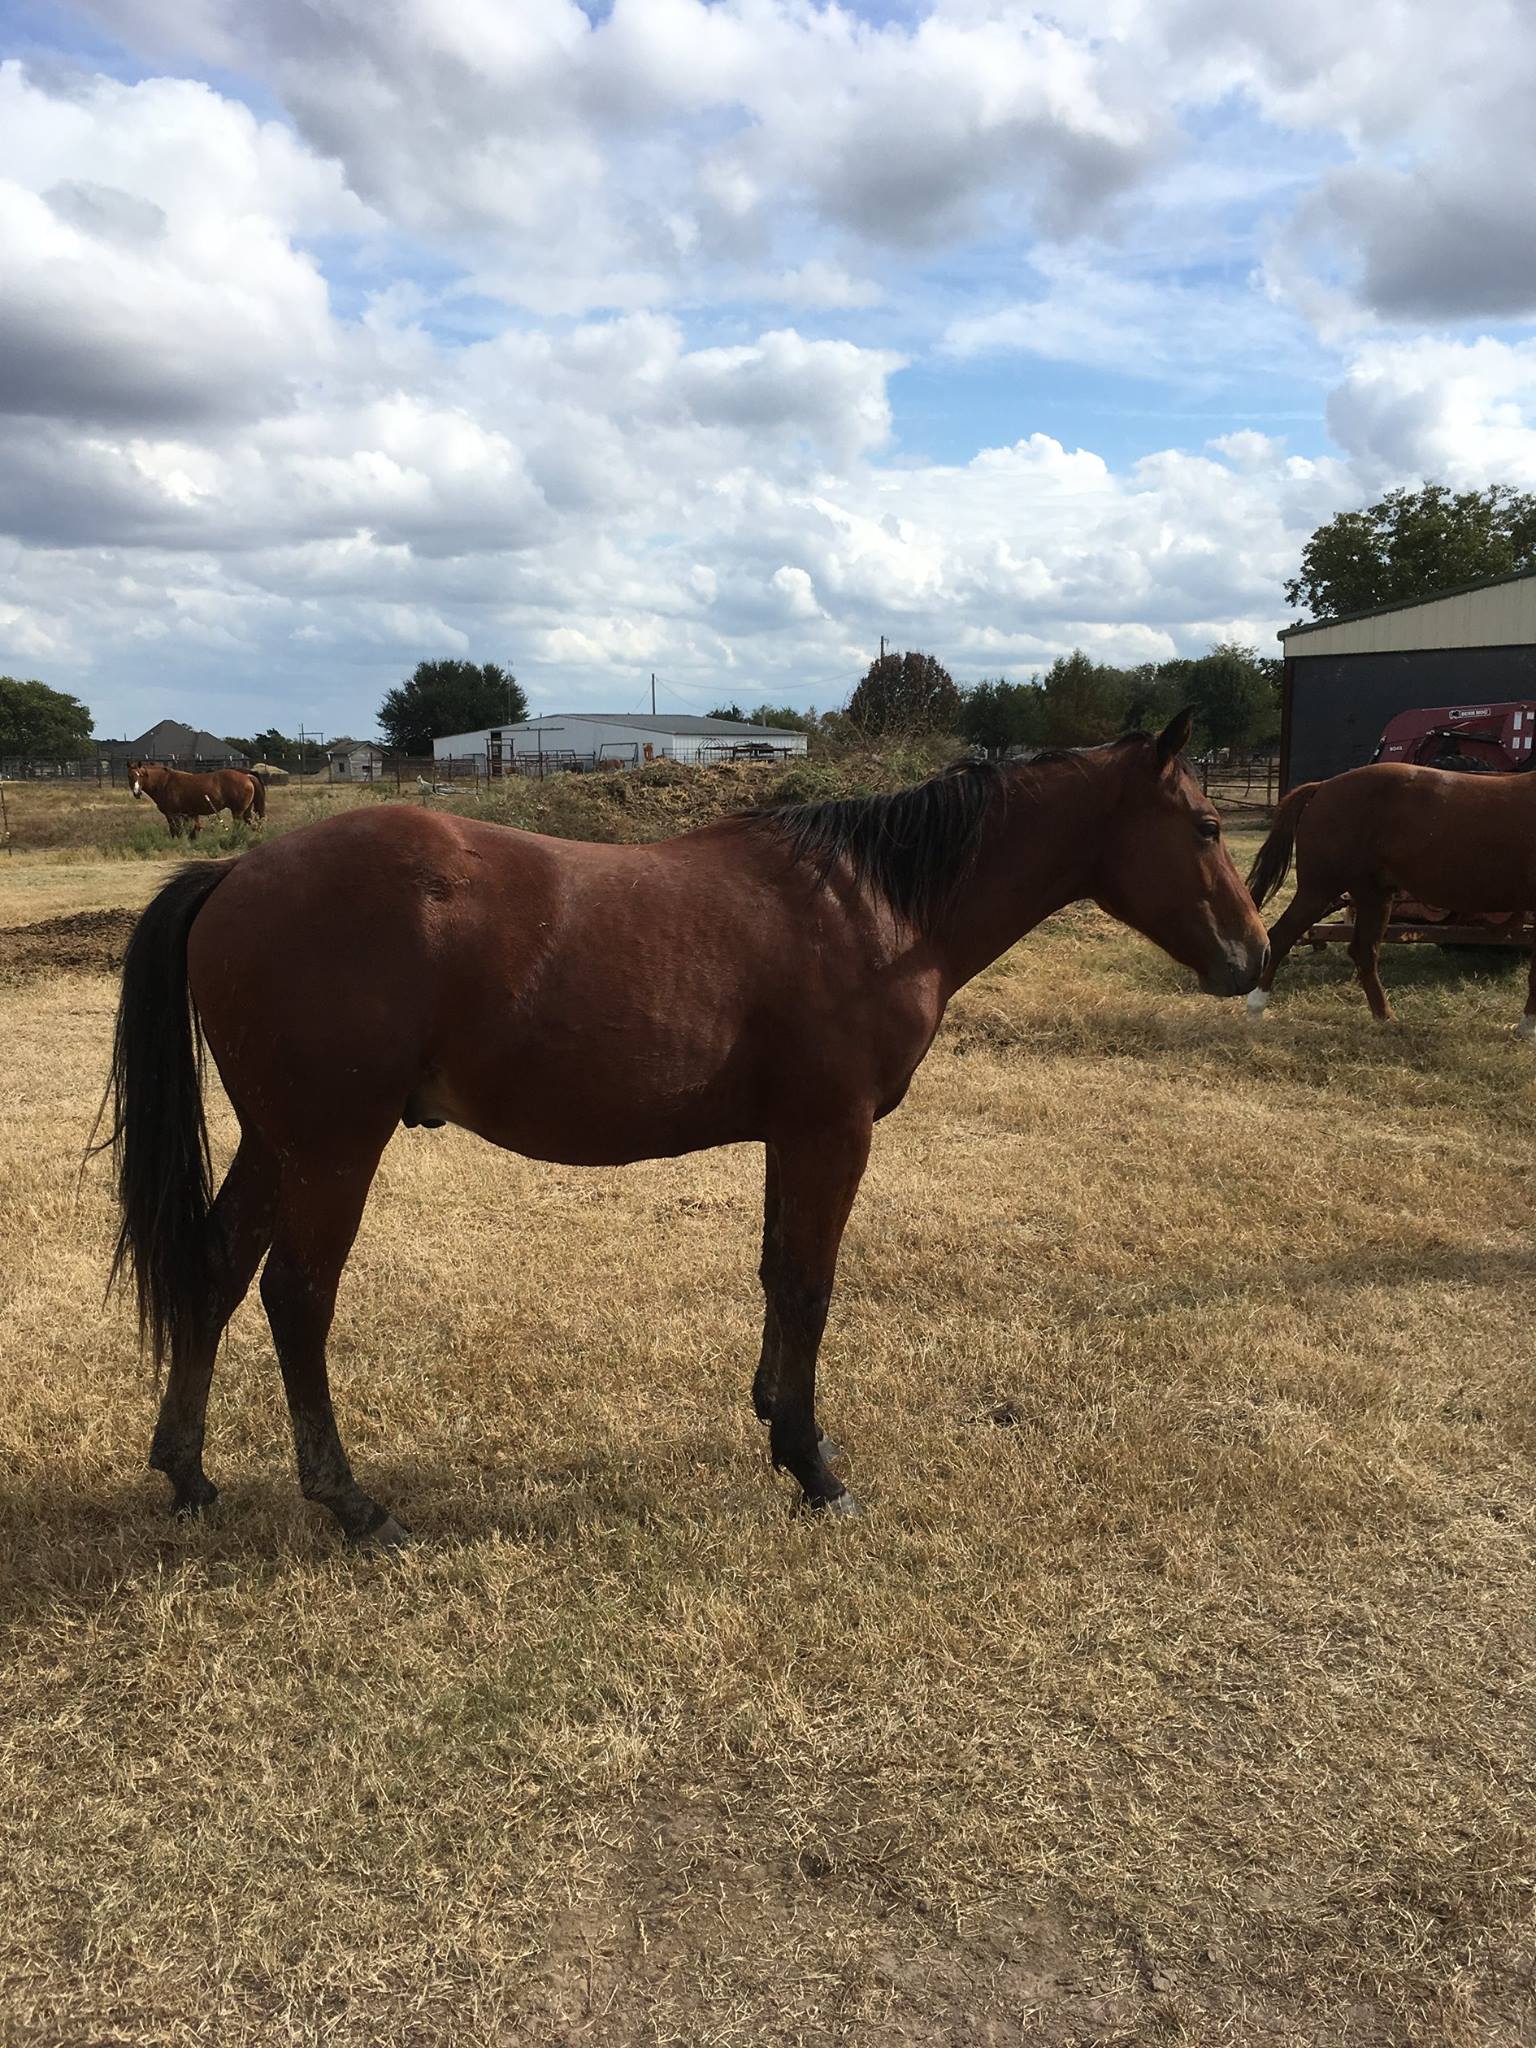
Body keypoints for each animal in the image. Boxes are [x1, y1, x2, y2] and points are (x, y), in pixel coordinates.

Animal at [130, 761, 265, 838]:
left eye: (140, 775)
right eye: (130, 776)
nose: (136, 792)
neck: (165, 783)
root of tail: (247, 776)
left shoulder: (172, 814)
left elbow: (176, 831)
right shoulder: (189, 814)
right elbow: (192, 831)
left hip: (237, 812)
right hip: (246, 811)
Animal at [1246, 761, 1536, 1027]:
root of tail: (1322, 787)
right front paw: (1527, 1025)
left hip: (1374, 896)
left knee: (1363, 952)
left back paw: (1384, 1017)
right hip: (1320, 890)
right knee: (1280, 938)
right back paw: (1256, 1008)